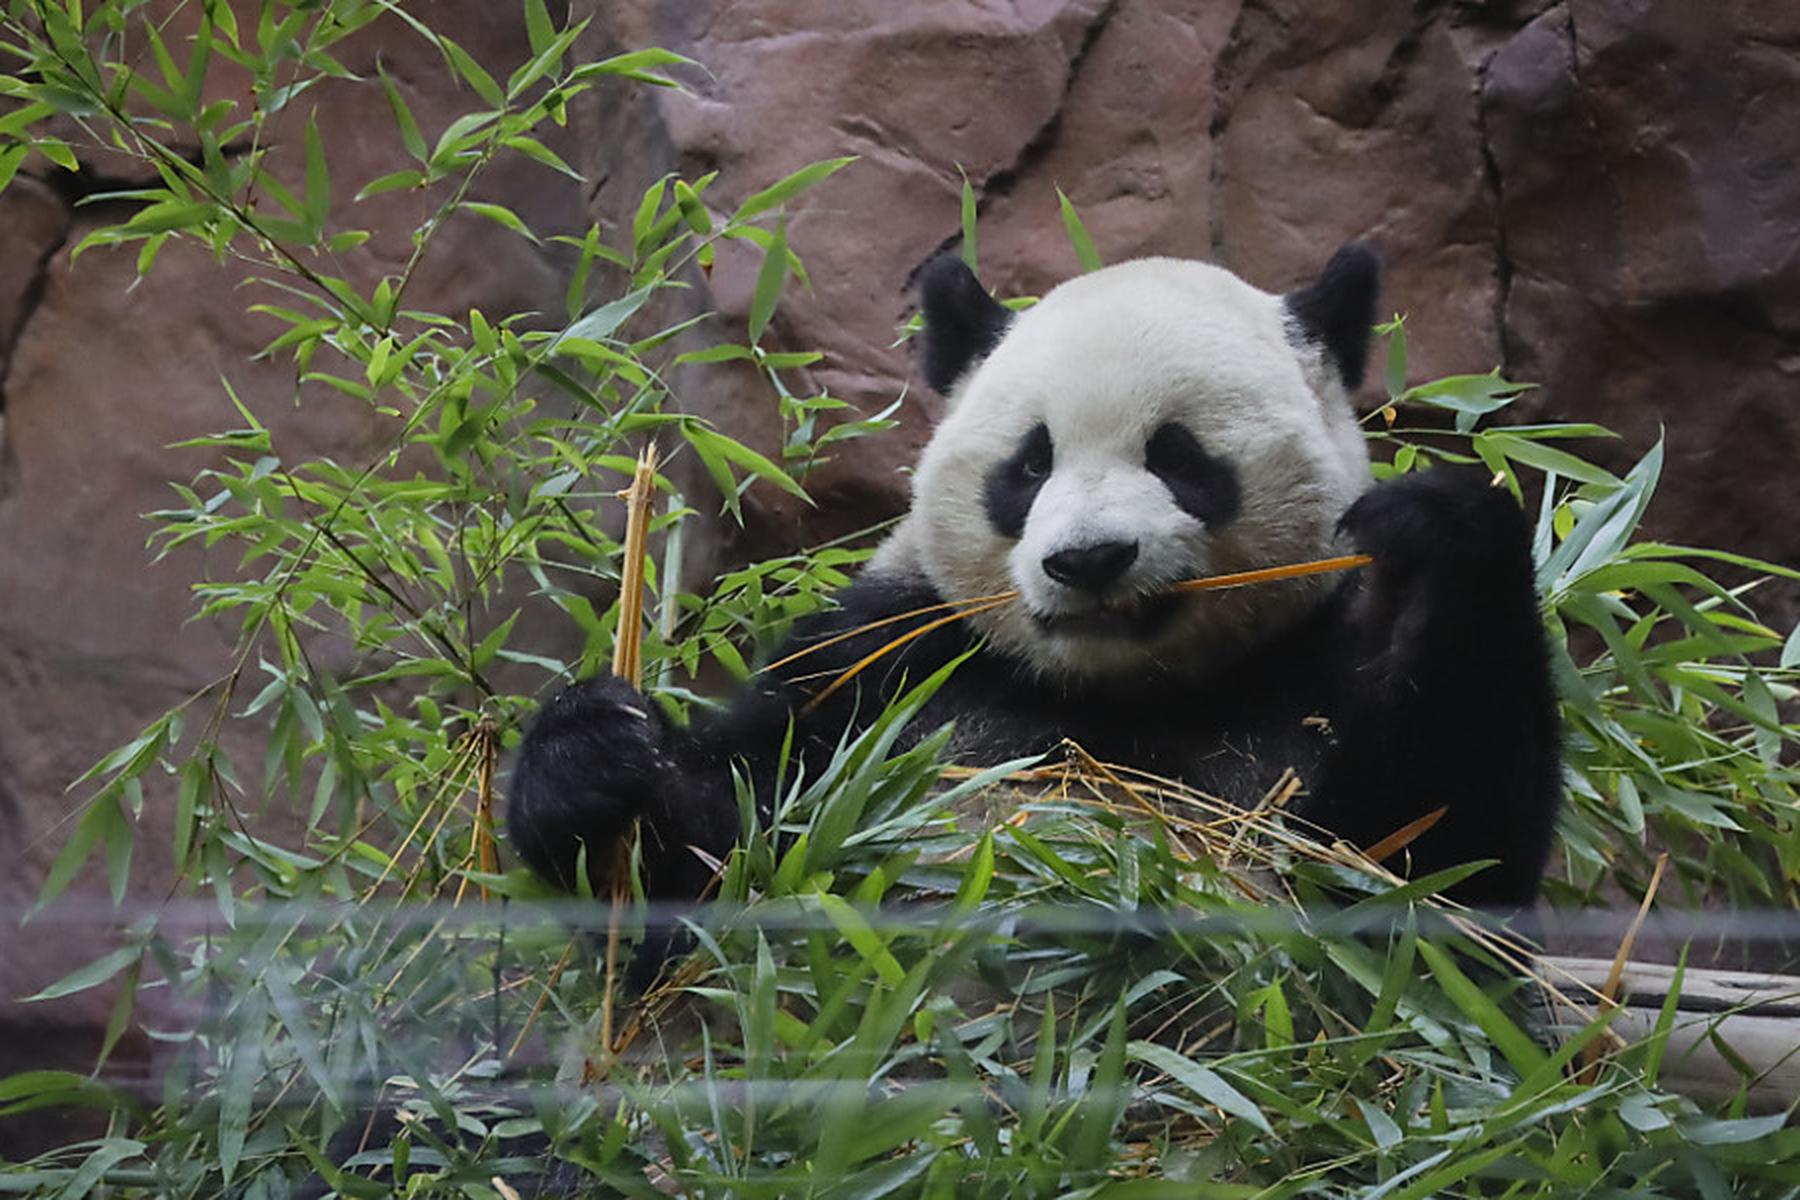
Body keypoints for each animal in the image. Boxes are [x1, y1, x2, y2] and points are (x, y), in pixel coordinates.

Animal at [507, 244, 1562, 935]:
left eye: (1180, 458)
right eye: (1028, 464)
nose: (1089, 559)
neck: (1113, 688)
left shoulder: (1310, 668)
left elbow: (1431, 867)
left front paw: (1439, 535)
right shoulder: (887, 662)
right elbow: (731, 847)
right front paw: (595, 757)